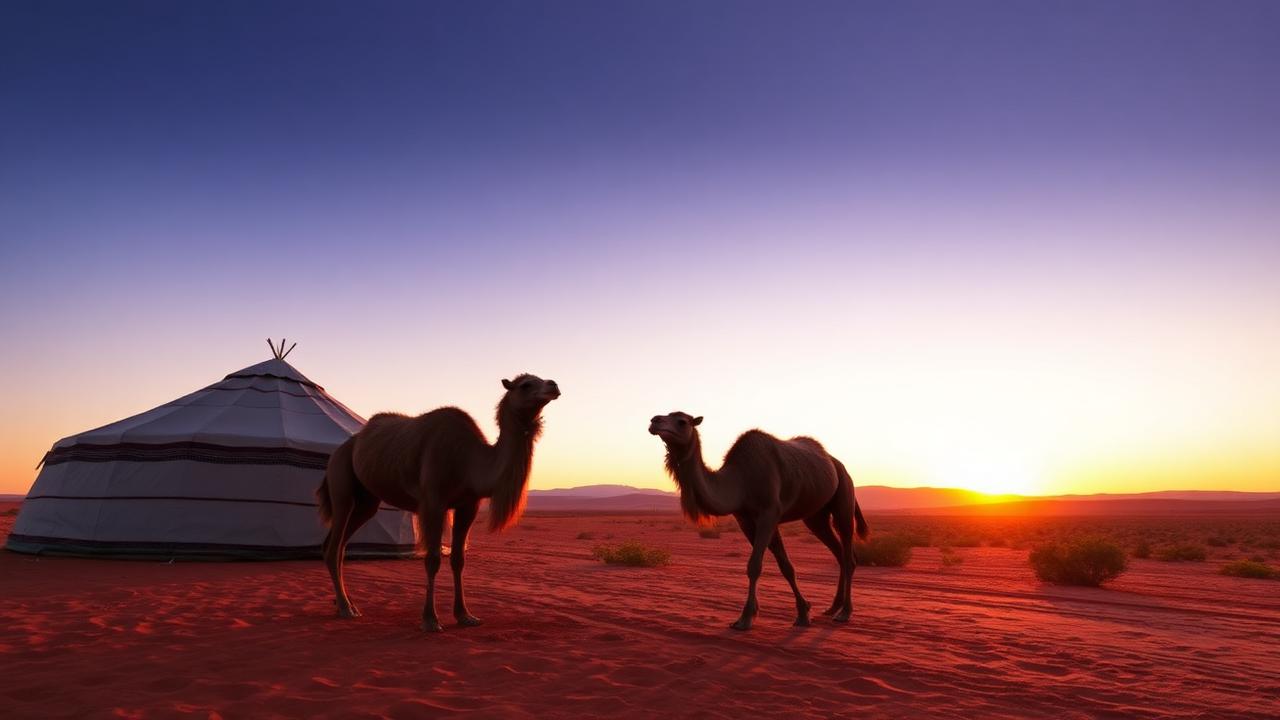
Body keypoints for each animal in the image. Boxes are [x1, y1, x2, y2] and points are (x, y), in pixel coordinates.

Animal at [318, 374, 560, 632]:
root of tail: (344, 447)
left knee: (339, 545)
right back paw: (346, 609)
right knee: (334, 544)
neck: (470, 461)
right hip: (341, 484)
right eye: (525, 385)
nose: (554, 385)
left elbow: (458, 559)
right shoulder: (433, 501)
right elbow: (433, 559)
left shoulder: (468, 506)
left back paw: (346, 604)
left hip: (367, 502)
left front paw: (465, 615)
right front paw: (430, 619)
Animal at [649, 412, 868, 630]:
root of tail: (838, 465)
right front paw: (803, 612)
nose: (654, 421)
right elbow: (785, 565)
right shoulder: (745, 520)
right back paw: (832, 607)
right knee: (838, 552)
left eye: (682, 422)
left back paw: (844, 612)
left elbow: (755, 566)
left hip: (844, 497)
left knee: (848, 554)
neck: (740, 481)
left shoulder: (769, 513)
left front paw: (745, 618)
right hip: (815, 517)